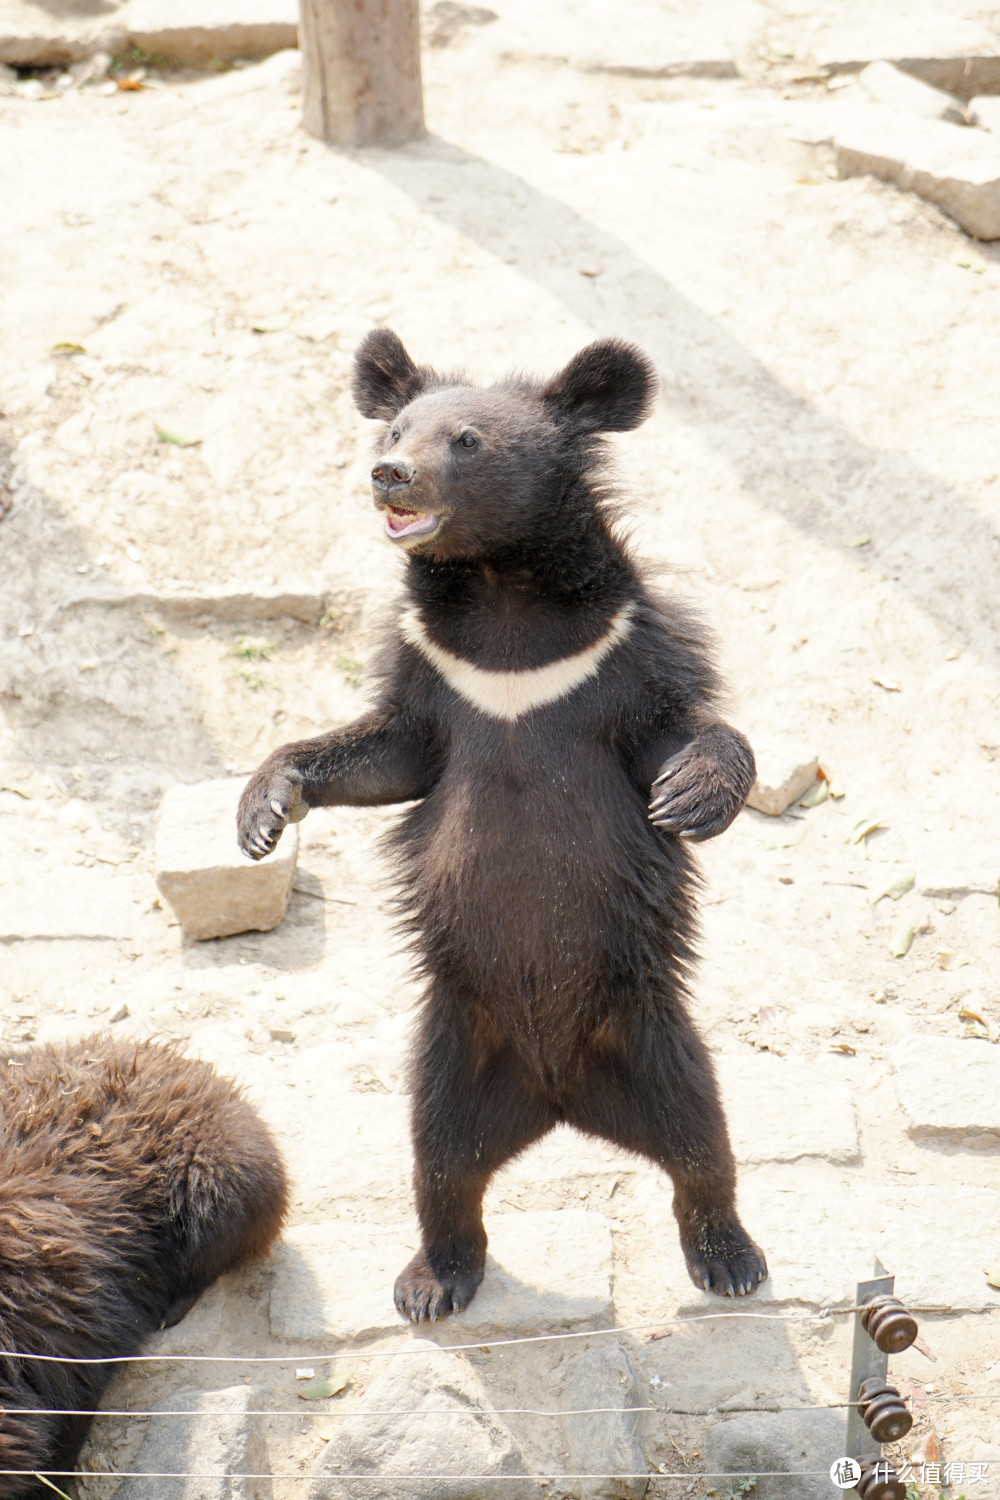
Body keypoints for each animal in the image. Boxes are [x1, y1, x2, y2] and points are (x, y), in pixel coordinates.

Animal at [239, 331, 767, 1326]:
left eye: (467, 440)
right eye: (396, 429)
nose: (389, 475)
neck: (503, 589)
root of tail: (558, 1092)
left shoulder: (617, 654)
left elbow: (679, 728)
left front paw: (688, 798)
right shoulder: (437, 670)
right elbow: (388, 752)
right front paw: (262, 815)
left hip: (652, 1028)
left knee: (702, 1144)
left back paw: (730, 1259)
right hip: (452, 1046)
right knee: (441, 1166)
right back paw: (431, 1281)